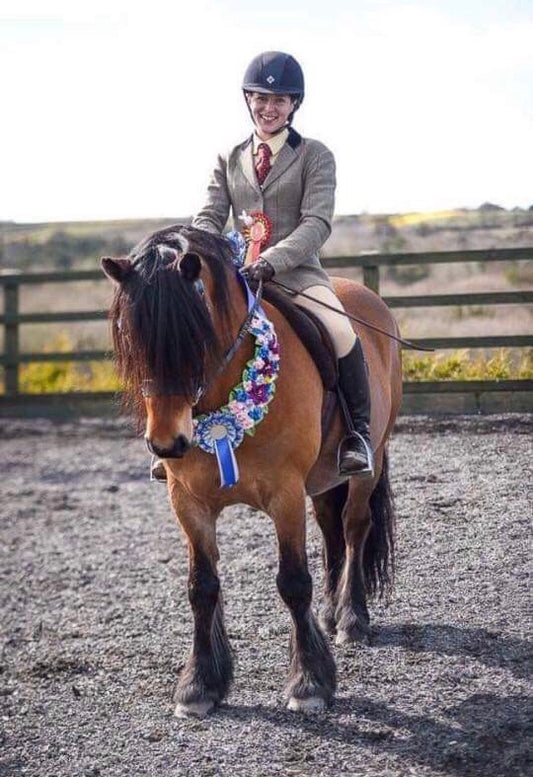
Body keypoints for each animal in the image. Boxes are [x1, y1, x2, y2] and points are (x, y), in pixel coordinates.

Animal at [102, 225, 402, 717]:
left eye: (196, 334)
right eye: (129, 335)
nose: (167, 442)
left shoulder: (285, 494)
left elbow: (293, 582)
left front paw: (309, 683)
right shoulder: (187, 500)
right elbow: (201, 586)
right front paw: (200, 685)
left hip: (369, 458)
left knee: (355, 526)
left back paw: (352, 619)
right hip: (322, 478)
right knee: (330, 527)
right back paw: (330, 613)